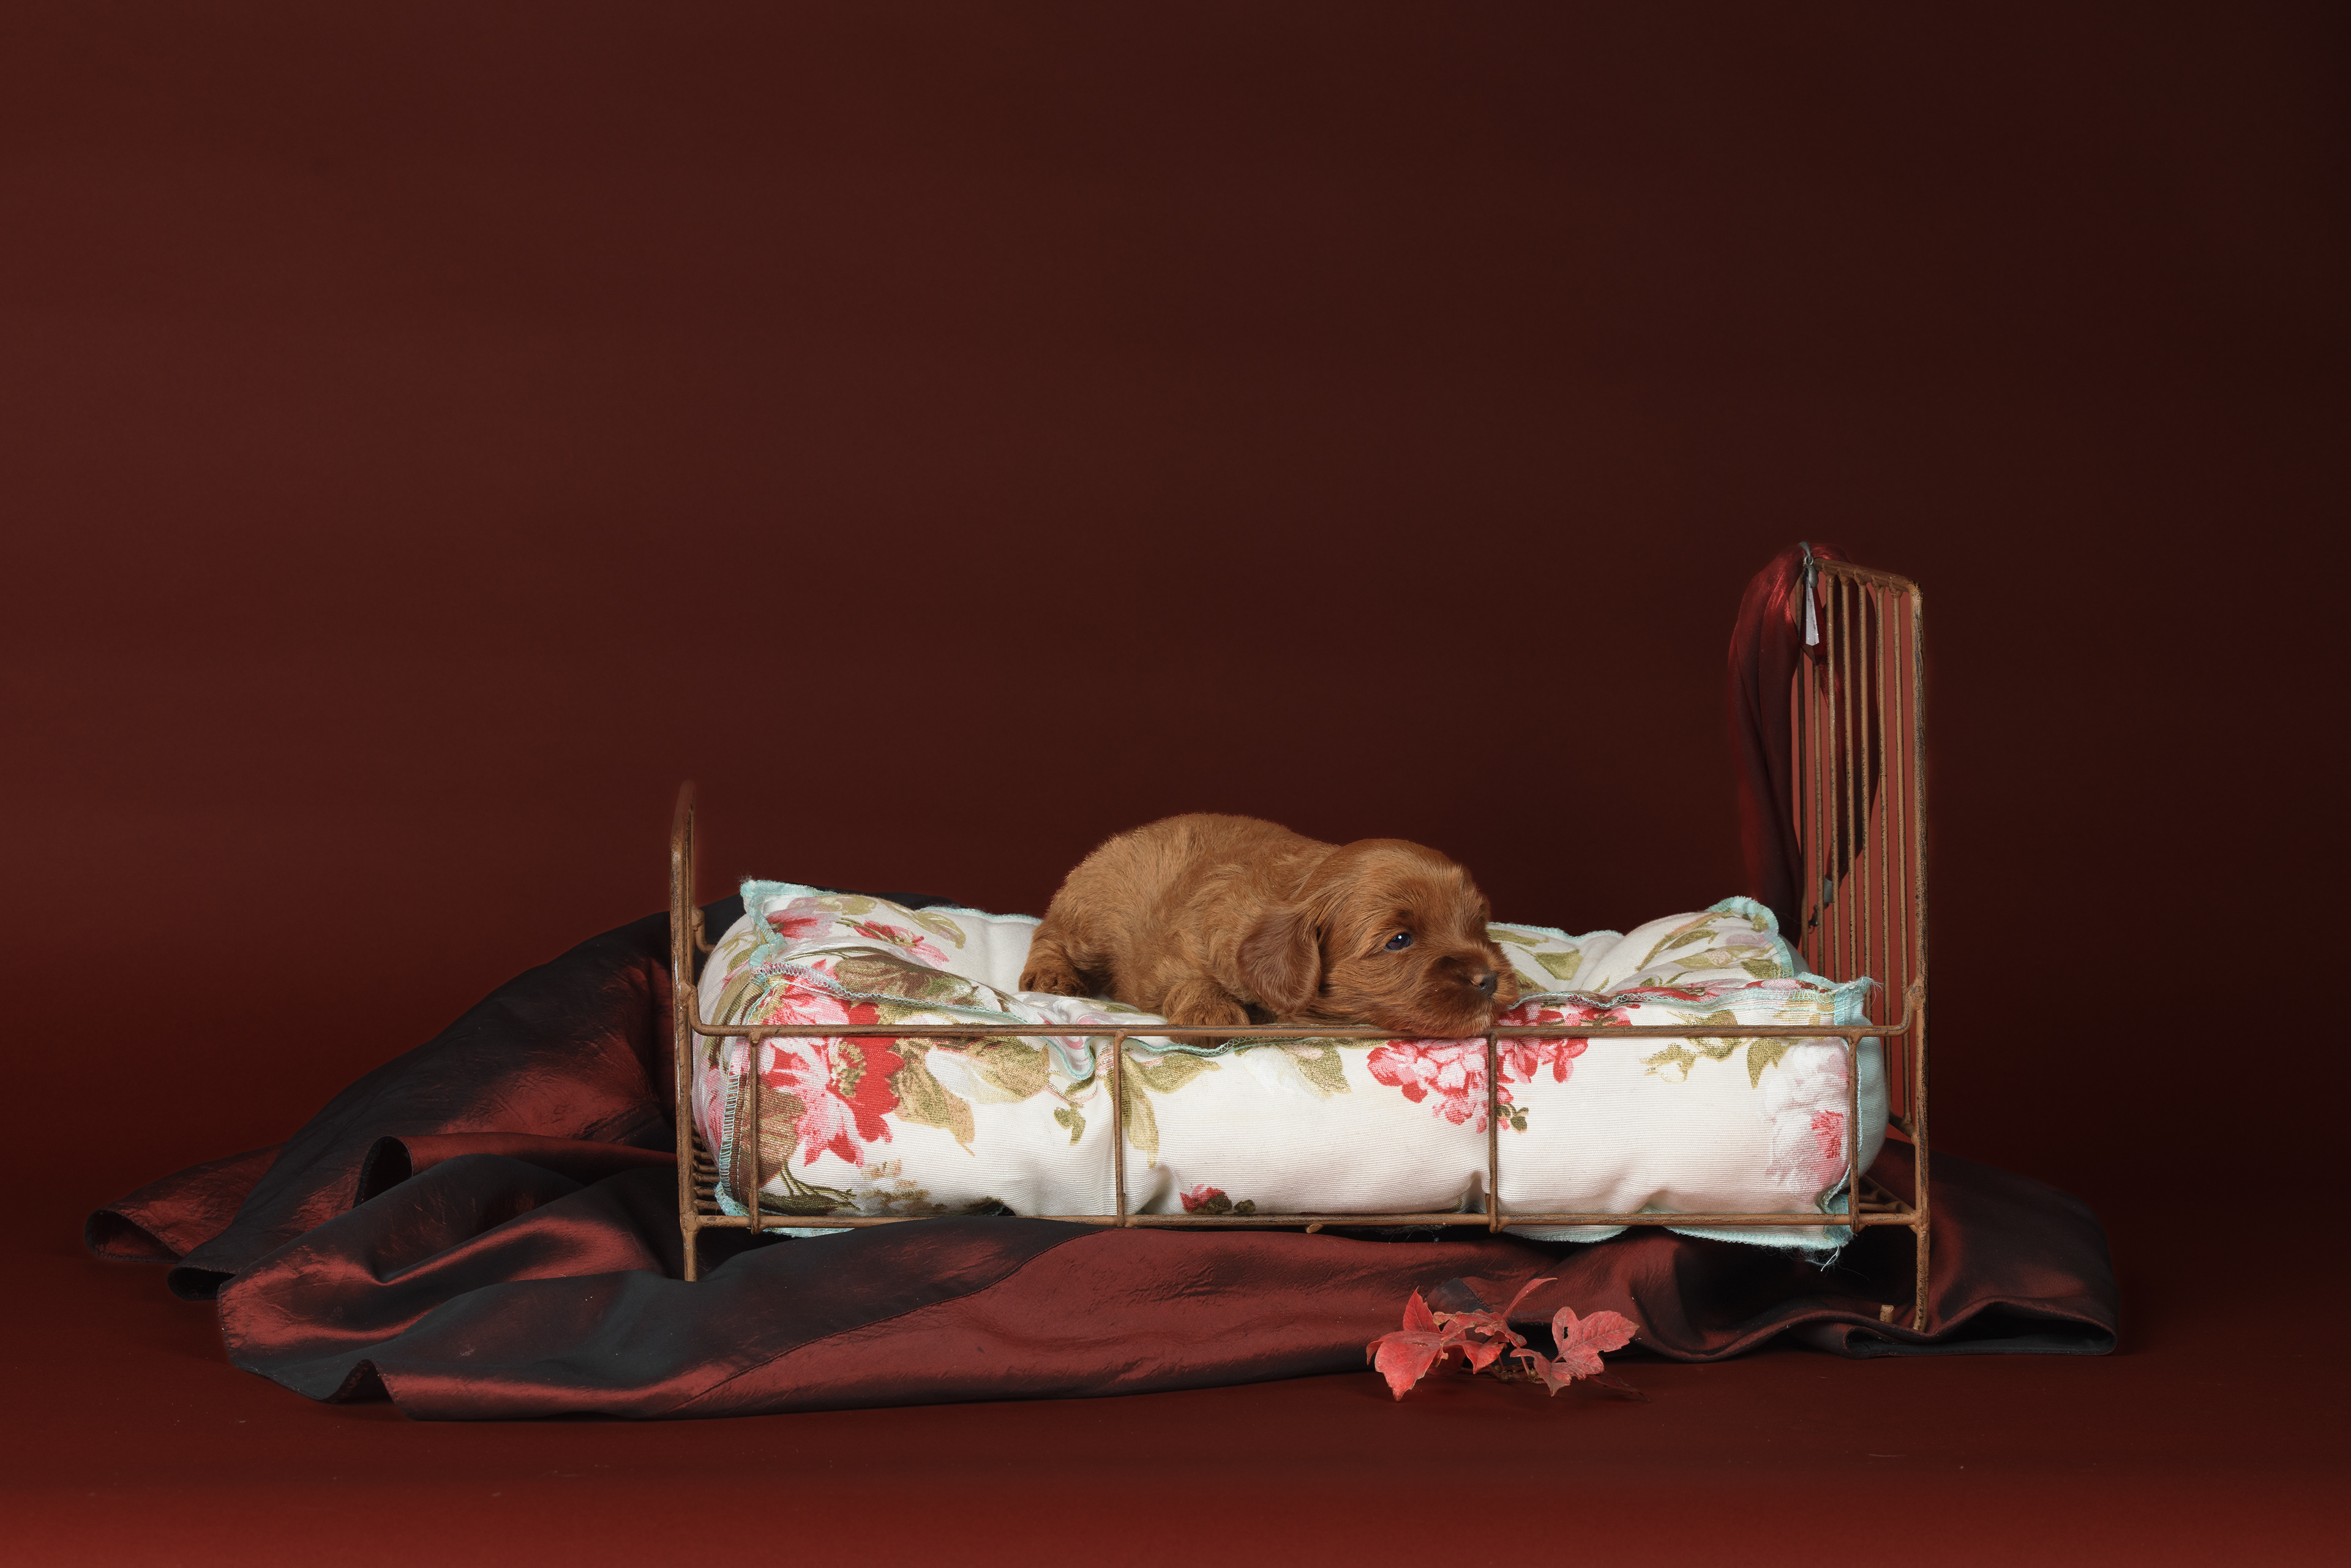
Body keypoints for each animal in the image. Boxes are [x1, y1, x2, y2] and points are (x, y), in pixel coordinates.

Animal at [1018, 814, 1520, 1044]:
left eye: (1476, 923)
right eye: (1400, 941)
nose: (1490, 979)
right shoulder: (1168, 961)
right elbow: (1190, 979)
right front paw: (1210, 1014)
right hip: (1090, 917)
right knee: (1048, 933)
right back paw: (1051, 976)